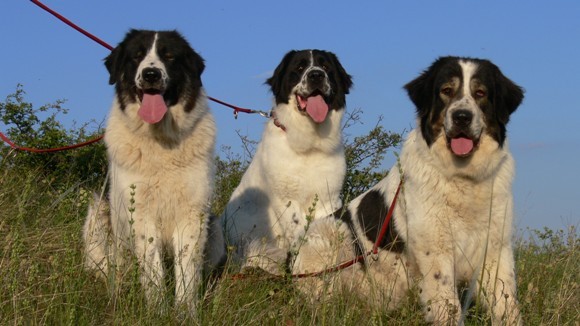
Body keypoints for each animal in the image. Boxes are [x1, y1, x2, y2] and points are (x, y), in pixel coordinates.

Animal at [82, 30, 223, 316]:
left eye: (169, 56)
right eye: (137, 56)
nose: (150, 74)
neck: (161, 142)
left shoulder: (192, 213)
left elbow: (186, 269)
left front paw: (185, 312)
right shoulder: (141, 214)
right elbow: (153, 268)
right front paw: (157, 310)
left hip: (215, 228)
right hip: (97, 213)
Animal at [220, 48, 352, 272]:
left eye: (326, 67)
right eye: (299, 67)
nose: (316, 75)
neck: (309, 143)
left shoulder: (329, 198)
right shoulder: (287, 200)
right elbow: (297, 230)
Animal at [294, 57, 524, 324]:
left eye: (480, 93)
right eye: (446, 91)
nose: (462, 117)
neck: (463, 176)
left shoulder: (496, 248)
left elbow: (505, 304)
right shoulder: (435, 249)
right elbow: (448, 303)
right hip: (330, 233)